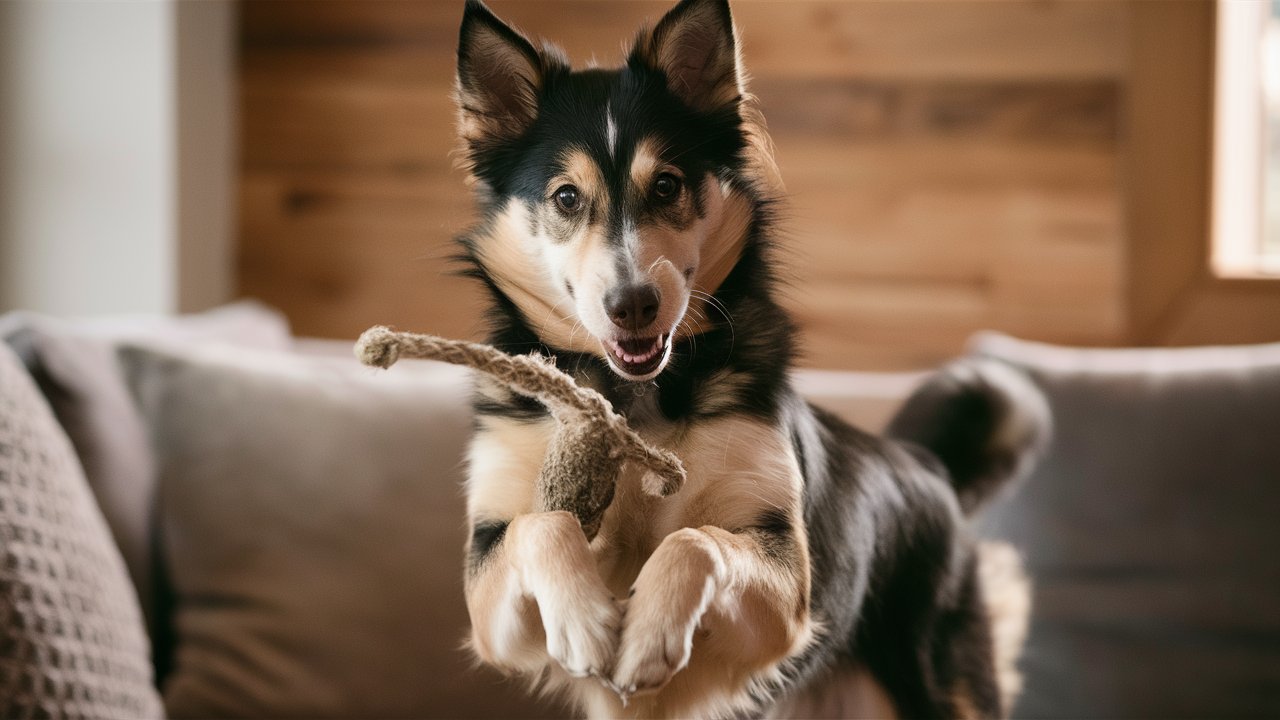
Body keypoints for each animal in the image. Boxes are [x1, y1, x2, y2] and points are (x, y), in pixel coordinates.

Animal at [450, 2, 1049, 712]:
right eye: (566, 197)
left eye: (668, 186)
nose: (633, 305)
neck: (640, 403)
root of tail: (929, 470)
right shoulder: (488, 596)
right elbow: (538, 527)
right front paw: (583, 618)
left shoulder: (786, 588)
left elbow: (697, 541)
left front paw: (650, 631)